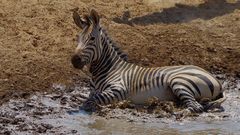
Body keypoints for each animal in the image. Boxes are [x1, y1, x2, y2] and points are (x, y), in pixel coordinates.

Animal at [70, 8, 226, 113]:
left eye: (92, 39)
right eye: (78, 38)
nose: (74, 60)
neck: (108, 69)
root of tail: (215, 78)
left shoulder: (119, 89)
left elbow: (91, 100)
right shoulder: (94, 90)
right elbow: (85, 95)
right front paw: (78, 96)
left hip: (179, 81)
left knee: (195, 107)